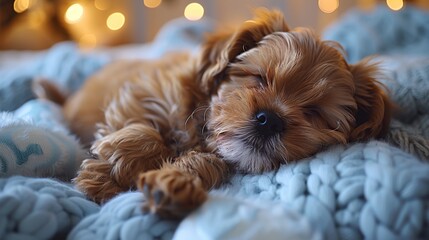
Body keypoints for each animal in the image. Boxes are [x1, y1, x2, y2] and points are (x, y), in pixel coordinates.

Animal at [38, 9, 390, 218]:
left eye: (314, 111)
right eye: (259, 78)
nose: (270, 119)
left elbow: (206, 163)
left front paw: (174, 182)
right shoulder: (146, 92)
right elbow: (145, 130)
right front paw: (109, 174)